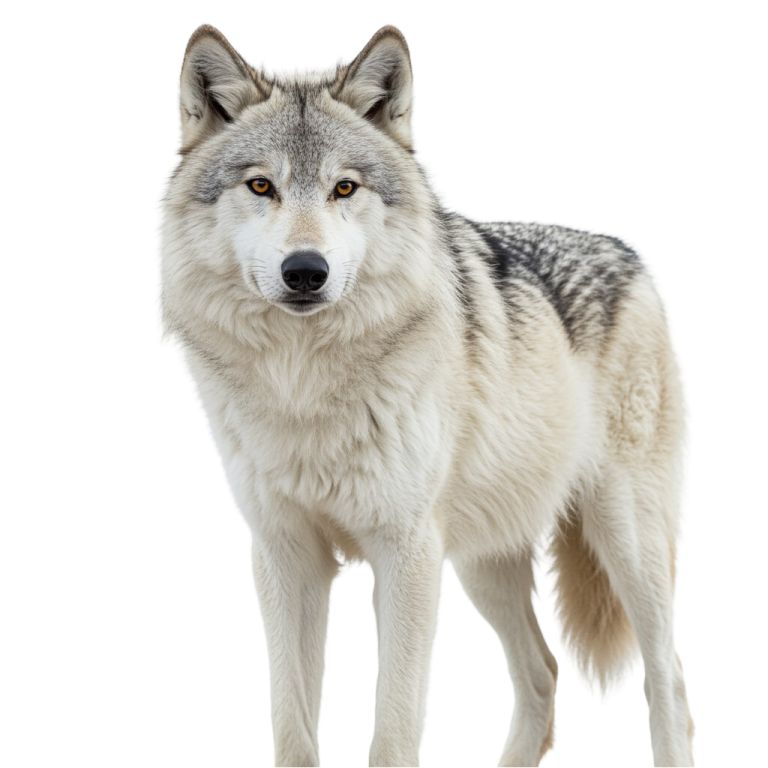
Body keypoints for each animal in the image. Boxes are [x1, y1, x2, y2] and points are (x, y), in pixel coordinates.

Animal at [154, 21, 696, 767]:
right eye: (260, 185)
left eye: (344, 188)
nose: (305, 271)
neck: (305, 388)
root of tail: (633, 252)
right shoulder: (283, 557)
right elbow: (293, 729)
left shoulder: (406, 556)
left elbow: (394, 731)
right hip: (483, 565)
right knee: (542, 678)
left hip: (626, 542)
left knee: (667, 679)